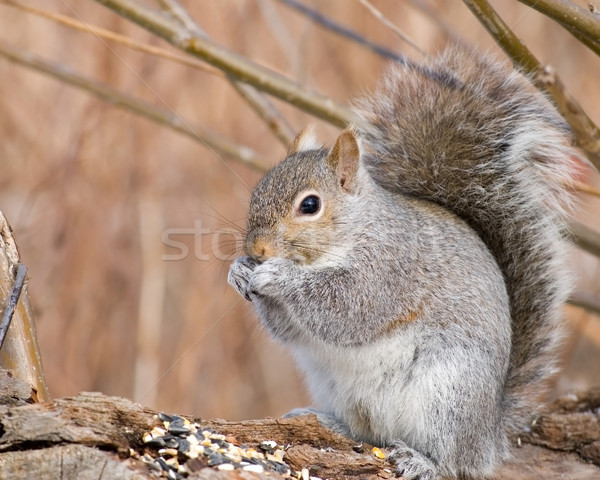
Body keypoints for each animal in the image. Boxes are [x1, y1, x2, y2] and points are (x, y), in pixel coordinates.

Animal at [227, 49, 584, 480]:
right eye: (258, 190)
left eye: (310, 205)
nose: (257, 248)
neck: (351, 234)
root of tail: (489, 433)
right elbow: (290, 330)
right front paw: (239, 271)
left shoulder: (390, 267)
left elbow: (346, 309)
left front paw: (279, 275)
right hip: (339, 389)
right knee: (369, 433)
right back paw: (325, 421)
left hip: (448, 394)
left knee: (455, 462)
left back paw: (424, 462)